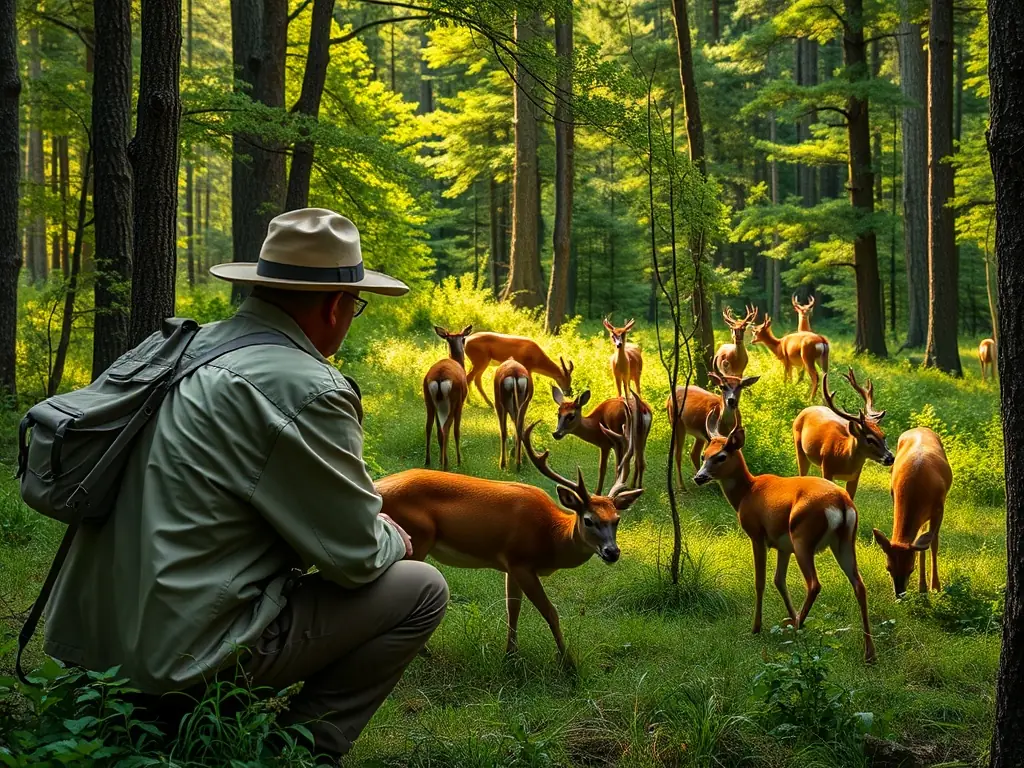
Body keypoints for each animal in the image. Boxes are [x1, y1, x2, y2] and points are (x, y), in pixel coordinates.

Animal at [374, 407, 643, 664]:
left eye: (617, 519)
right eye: (588, 520)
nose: (612, 552)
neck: (551, 536)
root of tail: (377, 488)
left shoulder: (511, 566)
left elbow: (512, 609)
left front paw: (511, 654)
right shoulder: (521, 560)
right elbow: (550, 611)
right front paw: (568, 662)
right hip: (416, 538)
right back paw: (421, 651)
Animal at [423, 325, 473, 471]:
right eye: (464, 339)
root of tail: (440, 377)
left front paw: (440, 459)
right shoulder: (461, 403)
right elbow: (457, 431)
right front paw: (459, 461)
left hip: (429, 400)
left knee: (429, 427)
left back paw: (428, 461)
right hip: (453, 400)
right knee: (446, 429)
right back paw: (446, 464)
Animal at [694, 414, 876, 663]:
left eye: (720, 456)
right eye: (704, 455)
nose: (699, 477)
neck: (746, 492)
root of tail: (841, 502)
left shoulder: (757, 535)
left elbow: (760, 581)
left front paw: (757, 627)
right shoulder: (783, 546)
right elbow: (779, 580)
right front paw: (791, 617)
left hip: (803, 538)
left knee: (814, 584)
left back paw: (799, 627)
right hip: (844, 542)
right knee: (859, 584)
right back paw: (869, 652)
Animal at [793, 369, 894, 501]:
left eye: (884, 436)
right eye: (869, 439)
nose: (890, 458)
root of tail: (807, 409)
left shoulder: (855, 476)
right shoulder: (827, 468)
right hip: (799, 448)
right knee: (802, 474)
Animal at [872, 427, 953, 596]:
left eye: (910, 569)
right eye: (888, 568)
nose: (899, 594)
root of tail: (921, 427)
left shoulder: (939, 508)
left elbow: (933, 543)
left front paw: (935, 586)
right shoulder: (894, 497)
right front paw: (922, 587)